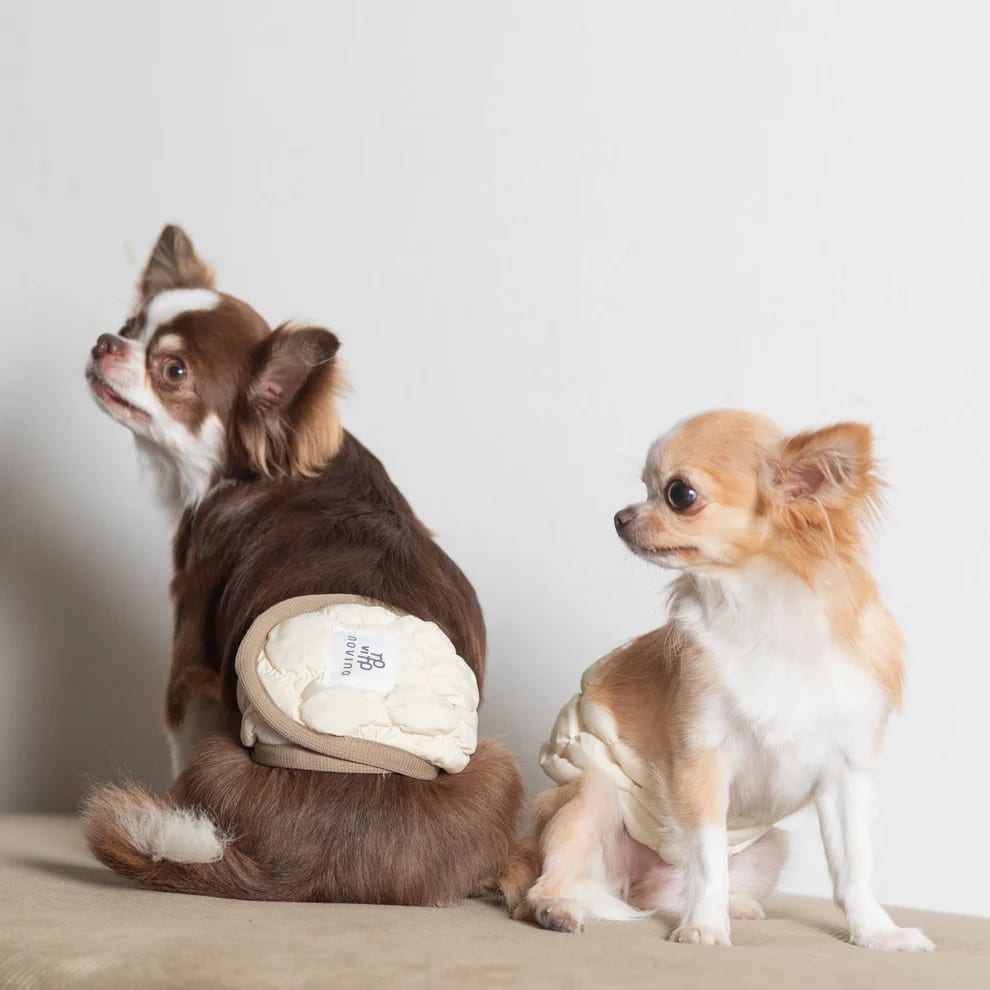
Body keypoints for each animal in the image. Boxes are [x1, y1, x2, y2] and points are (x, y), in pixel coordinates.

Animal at [82, 225, 524, 904]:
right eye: (131, 324)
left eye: (173, 371)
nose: (106, 342)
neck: (266, 465)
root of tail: (316, 870)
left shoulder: (191, 654)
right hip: (499, 768)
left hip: (218, 755)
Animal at [524, 410, 933, 950]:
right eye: (644, 487)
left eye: (678, 494)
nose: (619, 516)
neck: (763, 612)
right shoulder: (701, 757)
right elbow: (707, 856)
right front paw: (703, 927)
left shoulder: (845, 775)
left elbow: (855, 869)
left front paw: (877, 932)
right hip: (591, 794)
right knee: (548, 883)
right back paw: (560, 909)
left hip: (771, 845)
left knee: (669, 895)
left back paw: (732, 906)